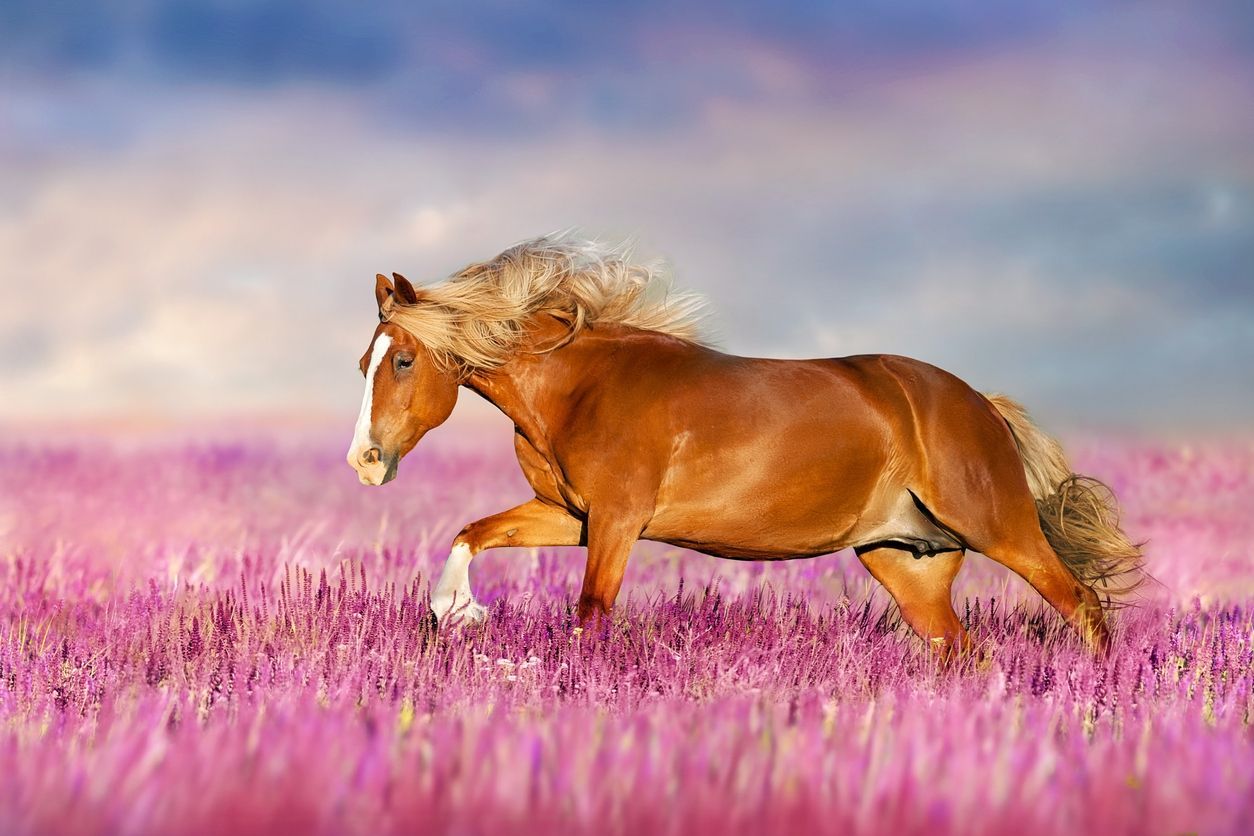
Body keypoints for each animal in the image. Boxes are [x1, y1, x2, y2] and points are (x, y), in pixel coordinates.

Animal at [346, 236, 1144, 659]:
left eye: (404, 360)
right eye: (365, 362)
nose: (366, 461)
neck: (579, 387)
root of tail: (980, 404)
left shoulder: (617, 521)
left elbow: (592, 610)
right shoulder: (570, 516)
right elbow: (472, 532)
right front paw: (455, 613)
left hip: (999, 528)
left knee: (1081, 606)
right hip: (905, 560)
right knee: (961, 649)